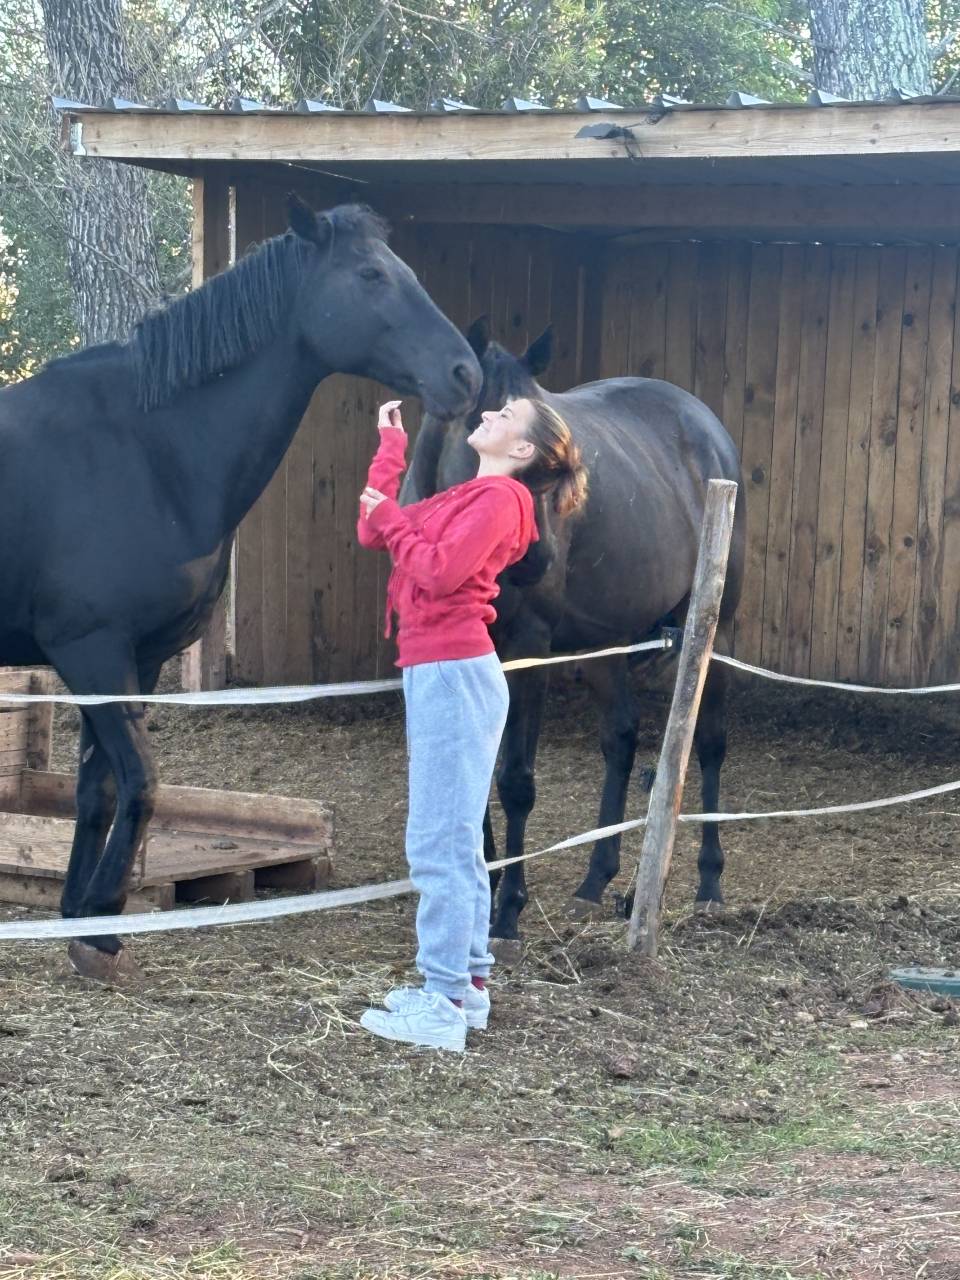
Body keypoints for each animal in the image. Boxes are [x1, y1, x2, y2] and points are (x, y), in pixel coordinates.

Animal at [0, 198, 481, 982]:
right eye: (371, 275)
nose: (464, 372)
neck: (148, 449)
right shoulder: (90, 651)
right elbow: (142, 780)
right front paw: (101, 928)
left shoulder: (137, 657)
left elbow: (99, 786)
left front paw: (81, 914)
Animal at [401, 318, 745, 960]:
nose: (536, 556)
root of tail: (705, 425)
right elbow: (472, 773)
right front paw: (481, 885)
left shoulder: (527, 648)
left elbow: (514, 780)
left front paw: (507, 911)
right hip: (604, 642)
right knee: (622, 738)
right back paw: (597, 882)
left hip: (715, 627)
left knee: (708, 744)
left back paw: (708, 883)